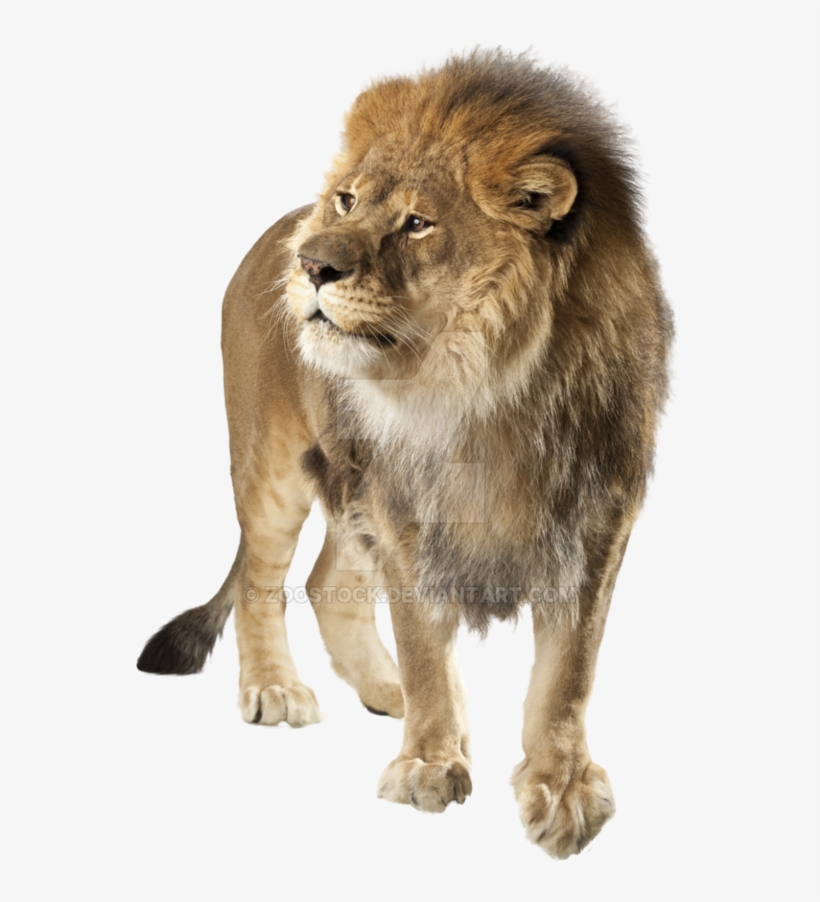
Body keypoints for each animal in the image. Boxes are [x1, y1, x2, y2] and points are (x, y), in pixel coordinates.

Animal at [138, 50, 673, 859]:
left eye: (418, 223)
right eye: (348, 202)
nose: (311, 265)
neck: (484, 393)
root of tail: (276, 228)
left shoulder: (594, 522)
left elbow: (568, 673)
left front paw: (563, 790)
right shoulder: (406, 510)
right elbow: (423, 643)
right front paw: (429, 764)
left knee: (328, 582)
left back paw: (387, 693)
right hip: (272, 465)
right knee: (265, 583)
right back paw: (275, 688)